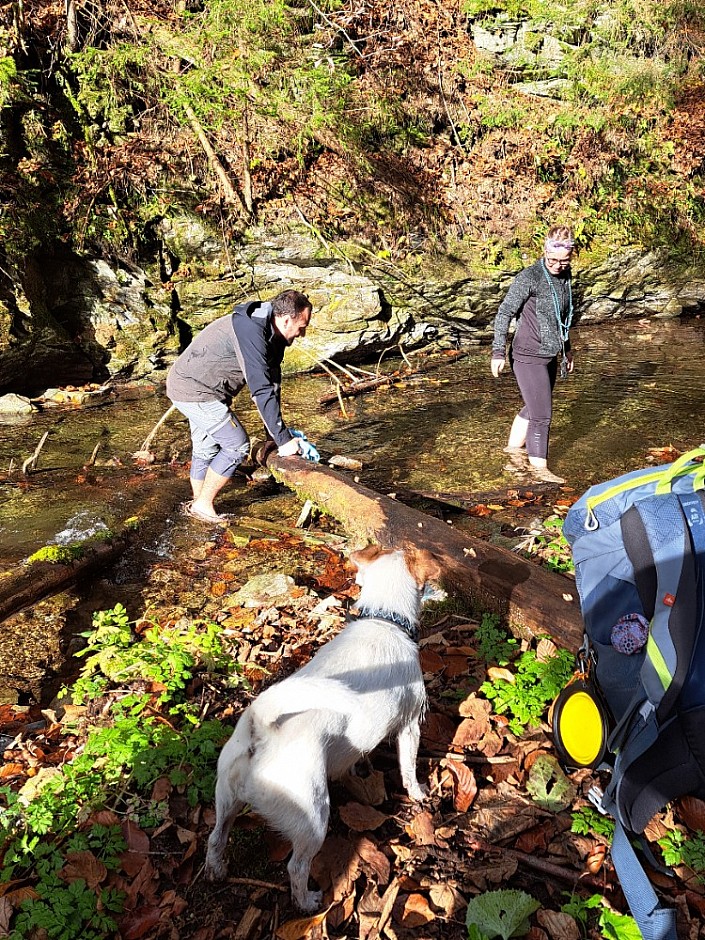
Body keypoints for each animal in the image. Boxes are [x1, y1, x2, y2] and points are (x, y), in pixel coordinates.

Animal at [204, 544, 440, 912]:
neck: (384, 619)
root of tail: (261, 729)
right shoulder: (410, 725)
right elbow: (408, 768)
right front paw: (418, 793)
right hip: (314, 817)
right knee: (297, 867)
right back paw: (308, 901)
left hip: (226, 799)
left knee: (215, 838)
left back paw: (217, 870)